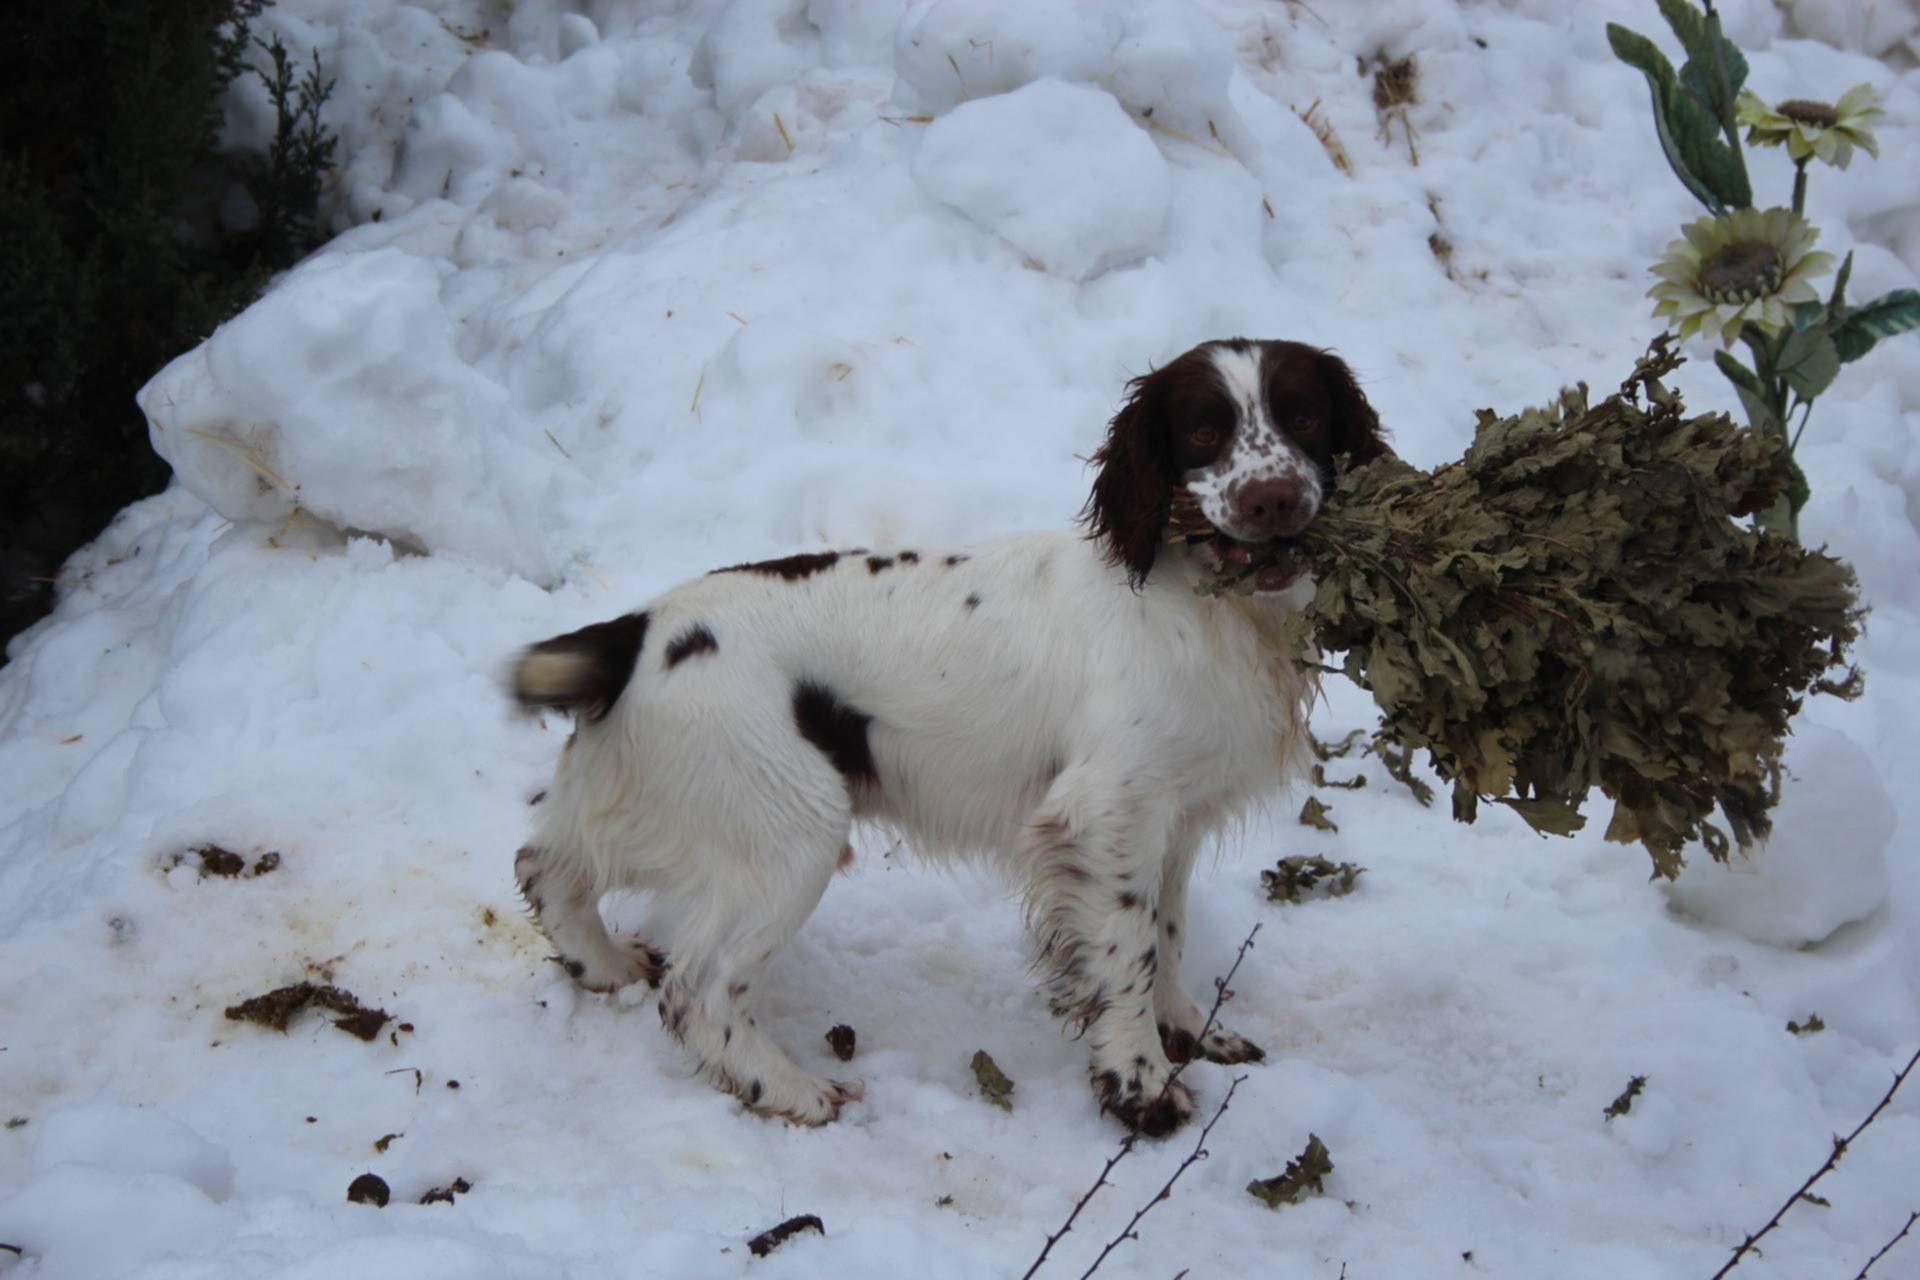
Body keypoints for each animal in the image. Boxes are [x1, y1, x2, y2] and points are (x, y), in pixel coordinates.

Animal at [506, 337, 1382, 1128]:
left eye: (1305, 414)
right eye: (1203, 430)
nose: (1273, 500)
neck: (1208, 607)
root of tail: (636, 632)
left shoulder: (1172, 817)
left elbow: (1166, 931)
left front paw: (1190, 1031)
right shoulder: (1109, 811)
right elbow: (1129, 951)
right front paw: (1141, 1087)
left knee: (546, 865)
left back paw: (607, 964)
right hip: (791, 827)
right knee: (698, 986)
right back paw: (794, 1091)